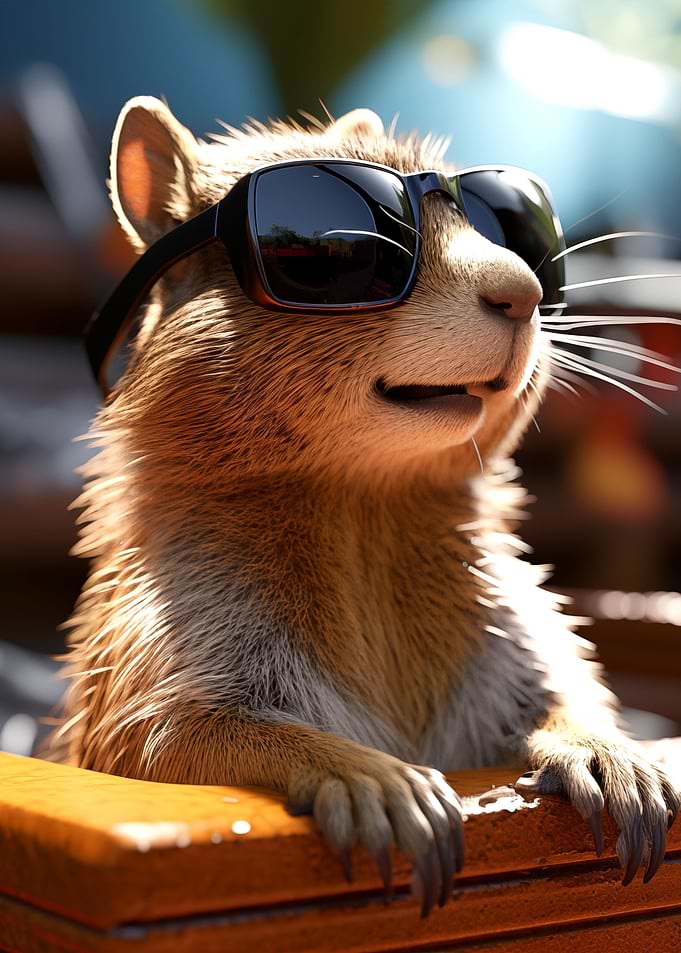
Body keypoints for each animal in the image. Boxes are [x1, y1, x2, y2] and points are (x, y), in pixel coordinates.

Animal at [48, 97, 680, 916]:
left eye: (514, 229)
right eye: (338, 248)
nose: (524, 291)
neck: (364, 503)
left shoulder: (518, 633)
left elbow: (562, 688)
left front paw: (608, 750)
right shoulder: (160, 642)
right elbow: (172, 739)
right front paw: (373, 777)